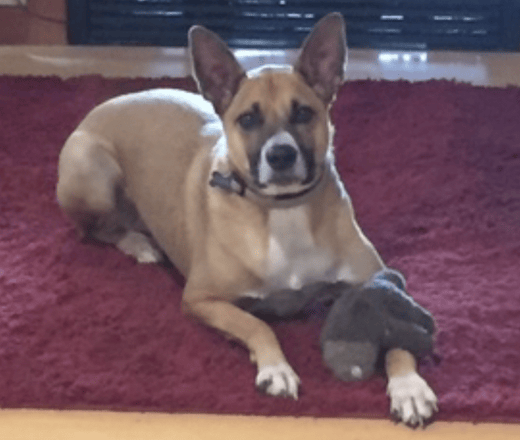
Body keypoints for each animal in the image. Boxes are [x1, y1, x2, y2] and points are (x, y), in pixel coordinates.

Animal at [56, 13, 437, 426]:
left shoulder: (373, 279)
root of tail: (105, 104)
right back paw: (139, 244)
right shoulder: (201, 299)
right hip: (92, 171)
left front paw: (409, 386)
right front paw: (276, 368)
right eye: (248, 119)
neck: (283, 209)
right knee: (96, 228)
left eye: (303, 113)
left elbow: (396, 332)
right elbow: (257, 324)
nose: (281, 155)